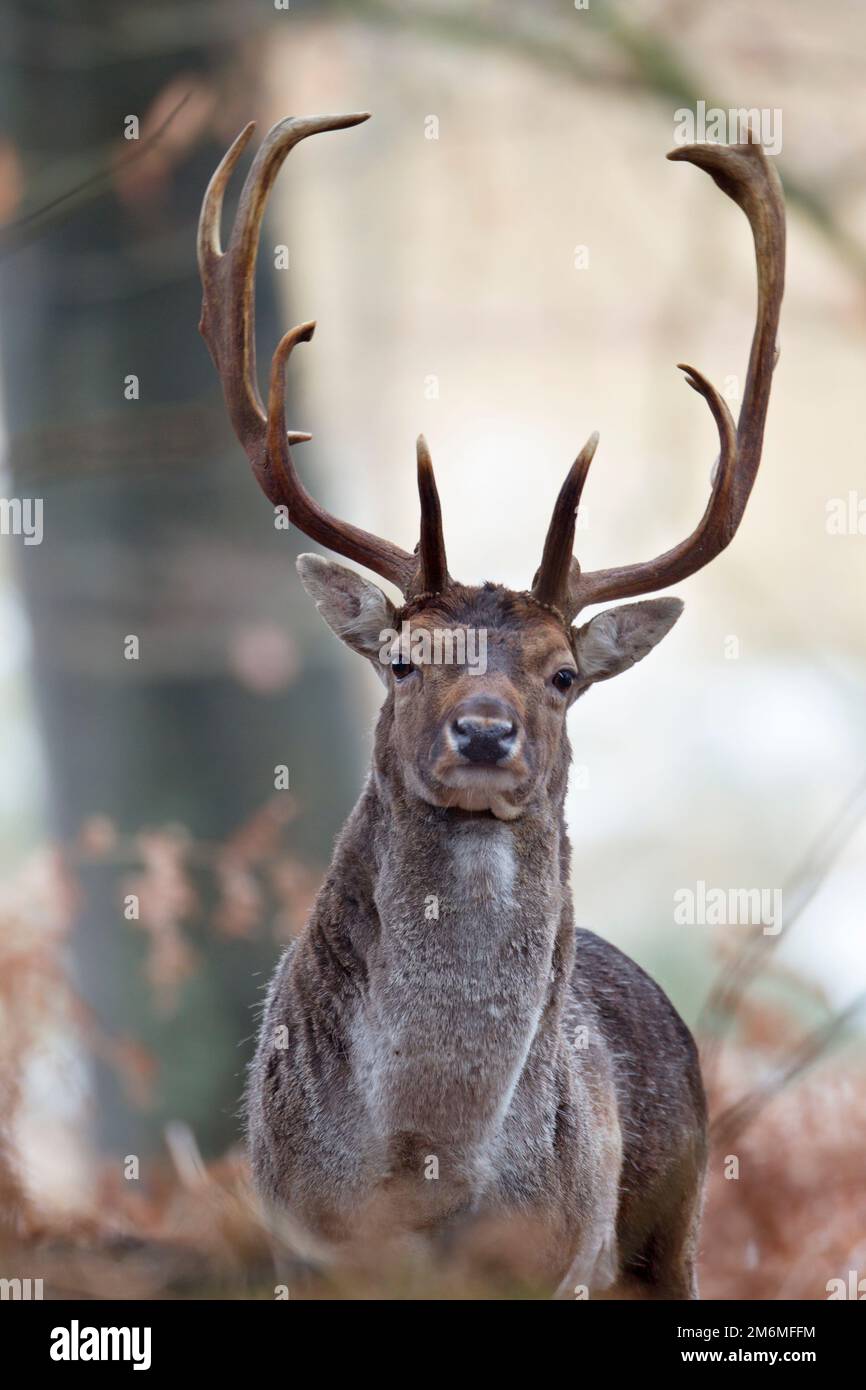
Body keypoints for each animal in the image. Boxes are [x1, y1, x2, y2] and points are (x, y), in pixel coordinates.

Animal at [198, 113, 783, 1295]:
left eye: (562, 674)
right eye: (401, 657)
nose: (482, 731)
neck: (423, 1174)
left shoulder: (562, 1259)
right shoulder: (296, 1243)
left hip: (671, 1230)